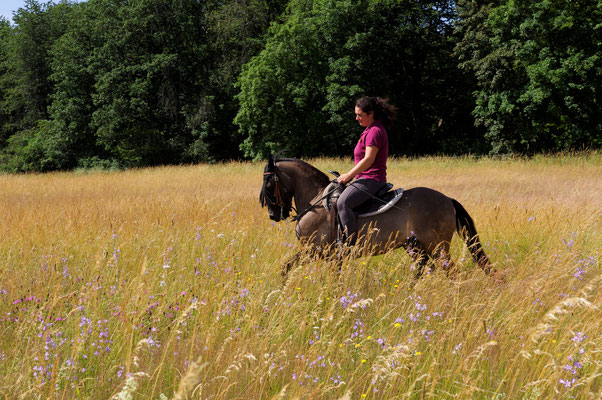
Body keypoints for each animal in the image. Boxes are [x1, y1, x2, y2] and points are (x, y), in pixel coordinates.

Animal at [258, 156, 492, 278]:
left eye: (269, 184)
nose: (272, 215)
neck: (317, 201)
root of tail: (447, 199)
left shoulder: (314, 251)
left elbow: (286, 267)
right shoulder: (327, 255)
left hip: (437, 247)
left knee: (450, 271)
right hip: (414, 245)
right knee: (423, 268)